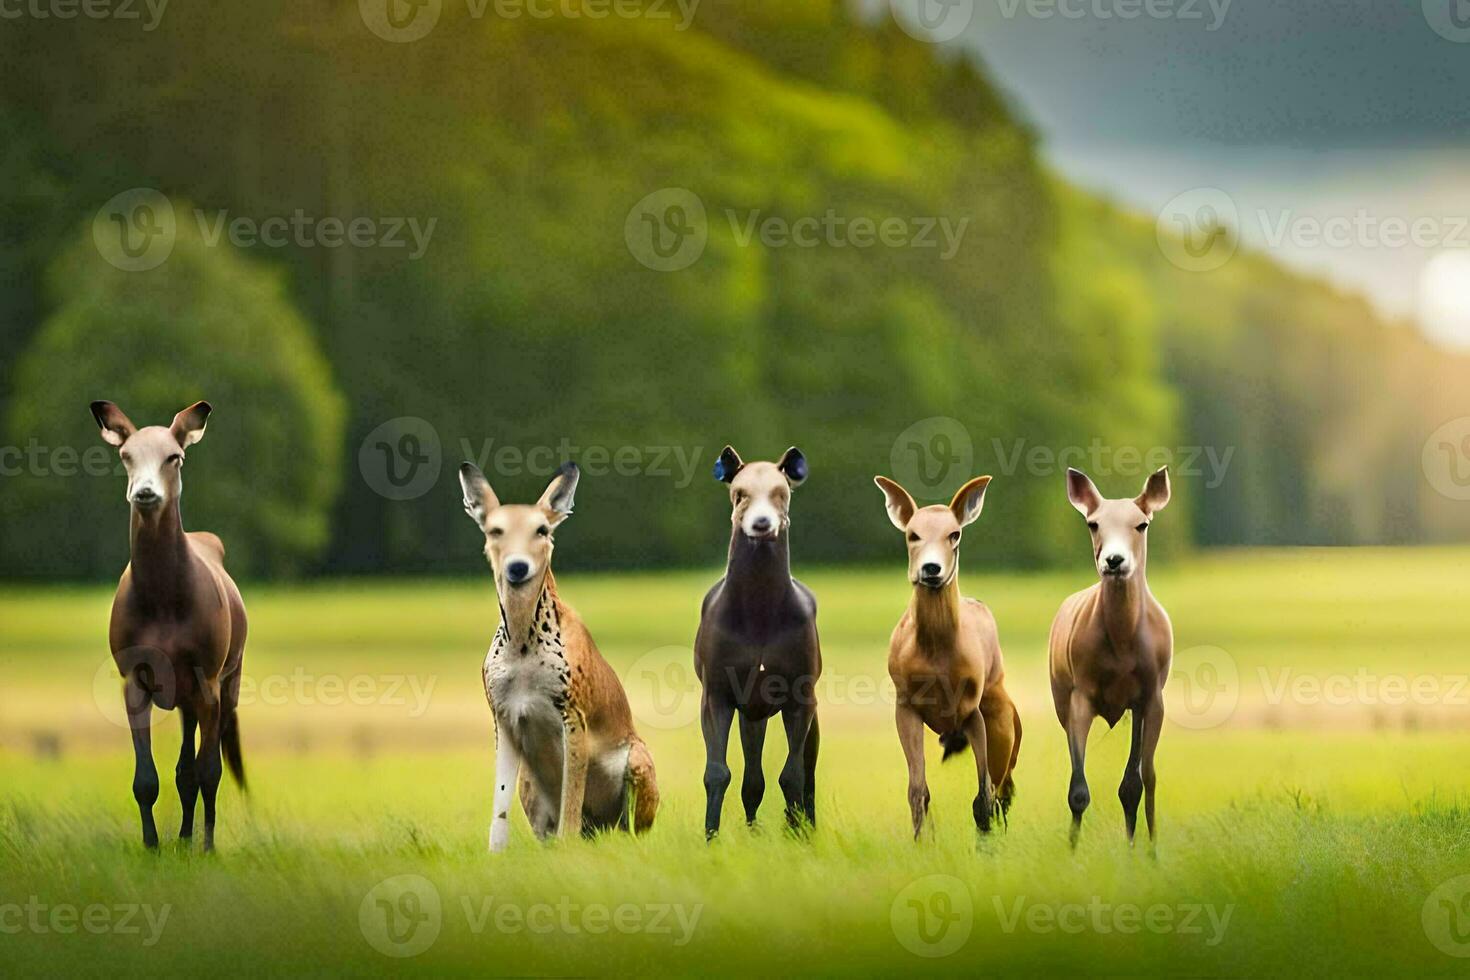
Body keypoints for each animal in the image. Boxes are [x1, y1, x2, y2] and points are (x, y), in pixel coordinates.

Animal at [90, 399, 245, 852]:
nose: (145, 492)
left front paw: (208, 847)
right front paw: (152, 846)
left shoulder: (207, 680)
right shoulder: (134, 677)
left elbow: (209, 771)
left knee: (200, 766)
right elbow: (147, 779)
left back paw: (194, 839)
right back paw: (181, 837)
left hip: (228, 680)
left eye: (174, 457)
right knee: (183, 769)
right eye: (126, 455)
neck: (162, 600)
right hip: (184, 696)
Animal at [455, 461, 658, 852]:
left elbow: (572, 797)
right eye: (495, 530)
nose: (518, 567)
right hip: (529, 783)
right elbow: (499, 803)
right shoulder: (502, 716)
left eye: (542, 529)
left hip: (639, 761)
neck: (522, 644)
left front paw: (568, 848)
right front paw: (495, 855)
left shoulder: (573, 713)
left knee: (630, 830)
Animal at [693, 449, 823, 840]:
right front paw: (711, 837)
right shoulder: (717, 694)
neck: (759, 608)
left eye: (782, 492)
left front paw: (797, 835)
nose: (762, 523)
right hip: (751, 715)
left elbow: (793, 774)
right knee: (752, 777)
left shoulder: (800, 695)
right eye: (739, 494)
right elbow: (717, 772)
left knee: (807, 770)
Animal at [870, 478, 1023, 840]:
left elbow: (983, 795)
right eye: (912, 534)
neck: (936, 652)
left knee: (1002, 789)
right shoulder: (906, 706)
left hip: (1002, 717)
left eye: (954, 534)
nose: (931, 569)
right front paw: (921, 842)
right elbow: (917, 790)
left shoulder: (973, 711)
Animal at [1052, 467, 1176, 852]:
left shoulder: (1152, 696)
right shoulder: (1080, 695)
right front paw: (1071, 852)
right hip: (1061, 696)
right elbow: (1078, 789)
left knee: (1134, 782)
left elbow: (1143, 780)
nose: (1114, 561)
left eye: (1142, 524)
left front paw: (1149, 852)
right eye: (1093, 524)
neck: (1122, 644)